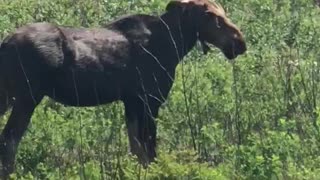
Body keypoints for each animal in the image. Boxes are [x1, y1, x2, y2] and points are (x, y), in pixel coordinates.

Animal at [0, 0, 246, 177]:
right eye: (210, 15)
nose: (240, 42)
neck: (175, 44)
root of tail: (5, 43)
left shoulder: (132, 101)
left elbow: (136, 148)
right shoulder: (150, 99)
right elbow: (149, 148)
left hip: (10, 97)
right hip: (27, 98)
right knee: (9, 140)